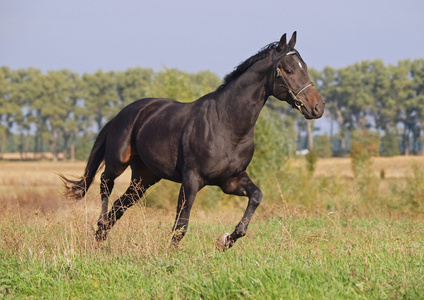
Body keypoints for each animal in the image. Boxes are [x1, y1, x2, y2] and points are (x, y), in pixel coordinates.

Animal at [59, 31, 324, 250]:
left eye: (304, 67)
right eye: (288, 69)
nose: (317, 107)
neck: (227, 124)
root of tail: (122, 114)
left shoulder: (230, 180)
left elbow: (256, 196)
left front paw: (226, 240)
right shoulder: (191, 180)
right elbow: (181, 224)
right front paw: (171, 255)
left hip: (143, 179)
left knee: (119, 206)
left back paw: (101, 237)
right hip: (118, 162)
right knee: (105, 184)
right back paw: (100, 225)